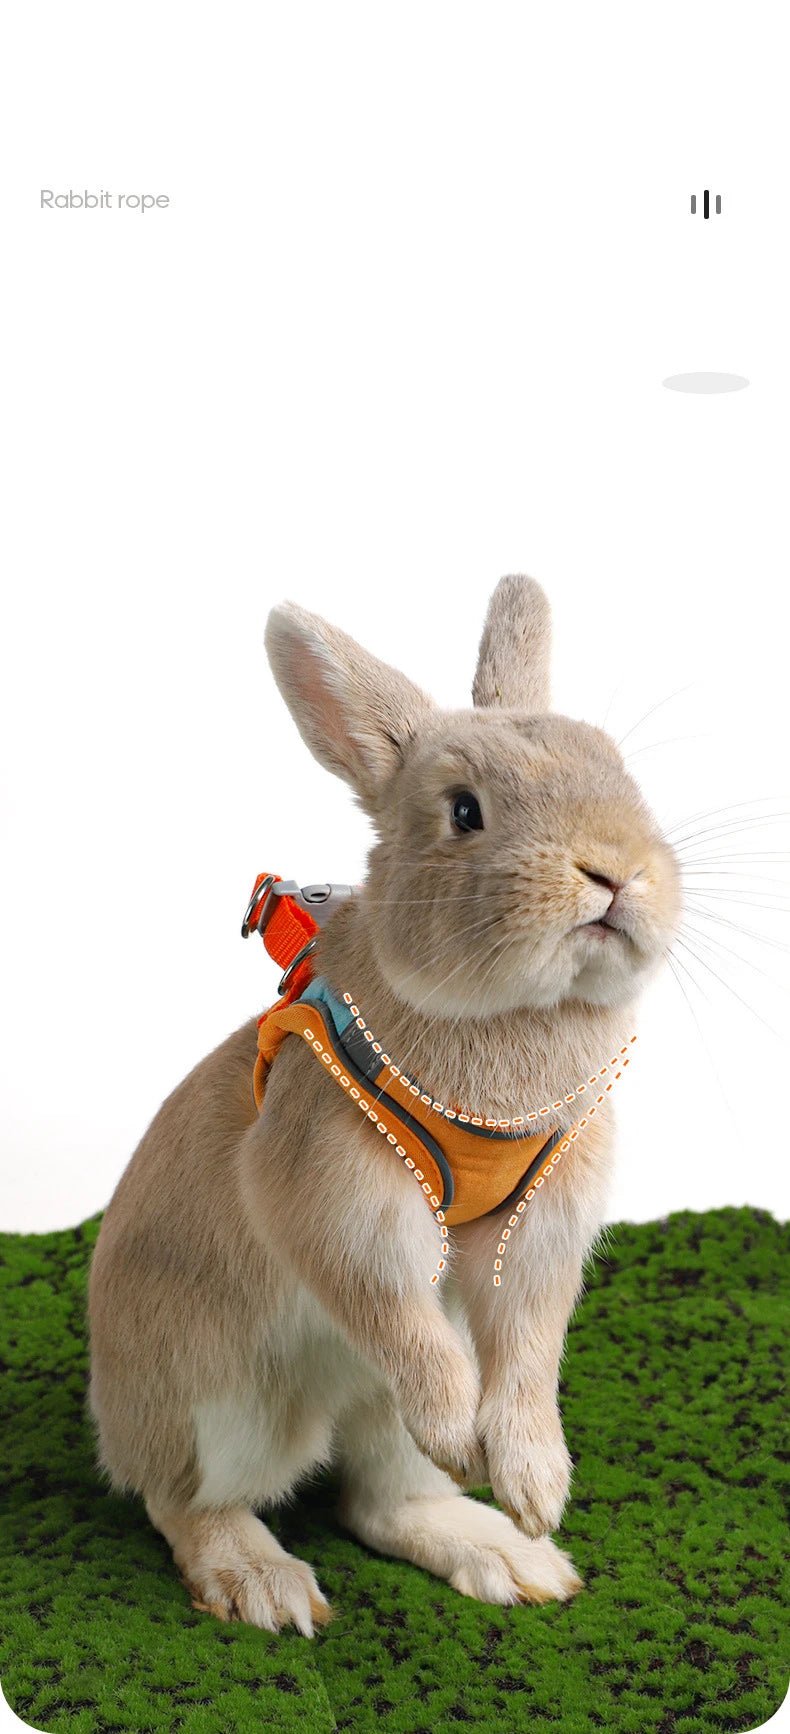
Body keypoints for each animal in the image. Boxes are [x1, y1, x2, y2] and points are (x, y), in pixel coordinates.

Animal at [88, 575, 681, 1634]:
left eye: (621, 775)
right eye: (464, 811)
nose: (616, 870)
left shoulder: (541, 1228)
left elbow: (529, 1348)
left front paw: (534, 1485)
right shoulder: (339, 1194)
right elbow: (392, 1308)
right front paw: (470, 1437)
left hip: (366, 1408)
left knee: (382, 1497)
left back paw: (509, 1552)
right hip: (220, 1402)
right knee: (187, 1500)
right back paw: (266, 1585)